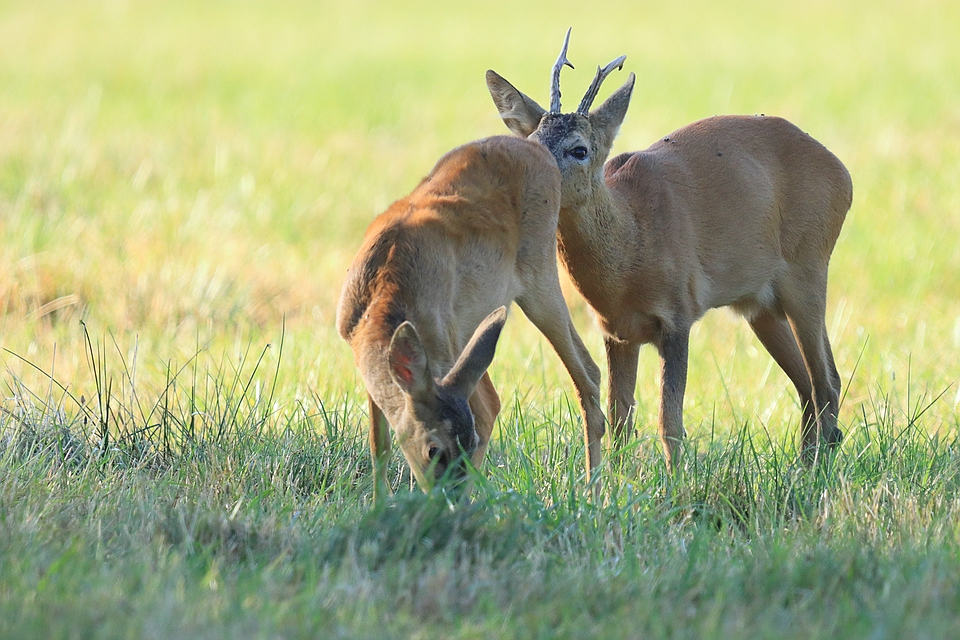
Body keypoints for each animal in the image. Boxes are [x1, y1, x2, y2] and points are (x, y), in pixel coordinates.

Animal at [338, 134, 604, 500]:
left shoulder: (444, 342)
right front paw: (379, 503)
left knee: (584, 376)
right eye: (434, 451)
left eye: (469, 444)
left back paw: (596, 493)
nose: (445, 501)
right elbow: (379, 444)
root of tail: (537, 147)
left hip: (539, 276)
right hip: (478, 326)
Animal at [488, 30, 856, 468]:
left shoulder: (678, 314)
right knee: (810, 386)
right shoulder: (616, 331)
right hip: (761, 304)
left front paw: (675, 485)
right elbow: (619, 418)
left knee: (827, 382)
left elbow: (670, 422)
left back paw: (813, 473)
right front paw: (619, 482)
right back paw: (803, 466)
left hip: (809, 266)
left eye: (579, 149)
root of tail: (844, 174)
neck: (632, 245)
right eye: (531, 141)